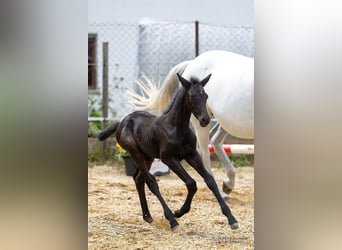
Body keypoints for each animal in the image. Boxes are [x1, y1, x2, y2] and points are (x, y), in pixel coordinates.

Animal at [98, 73, 238, 229]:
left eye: (206, 96)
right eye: (191, 96)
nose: (205, 120)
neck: (177, 128)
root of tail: (122, 121)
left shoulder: (192, 154)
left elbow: (210, 180)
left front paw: (231, 218)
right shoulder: (168, 158)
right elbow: (191, 183)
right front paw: (179, 212)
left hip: (148, 157)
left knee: (139, 179)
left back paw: (147, 216)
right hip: (136, 154)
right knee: (151, 181)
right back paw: (171, 219)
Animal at [126, 50, 254, 194]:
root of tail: (193, 62)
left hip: (218, 122)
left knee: (215, 142)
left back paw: (227, 185)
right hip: (201, 122)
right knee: (205, 152)